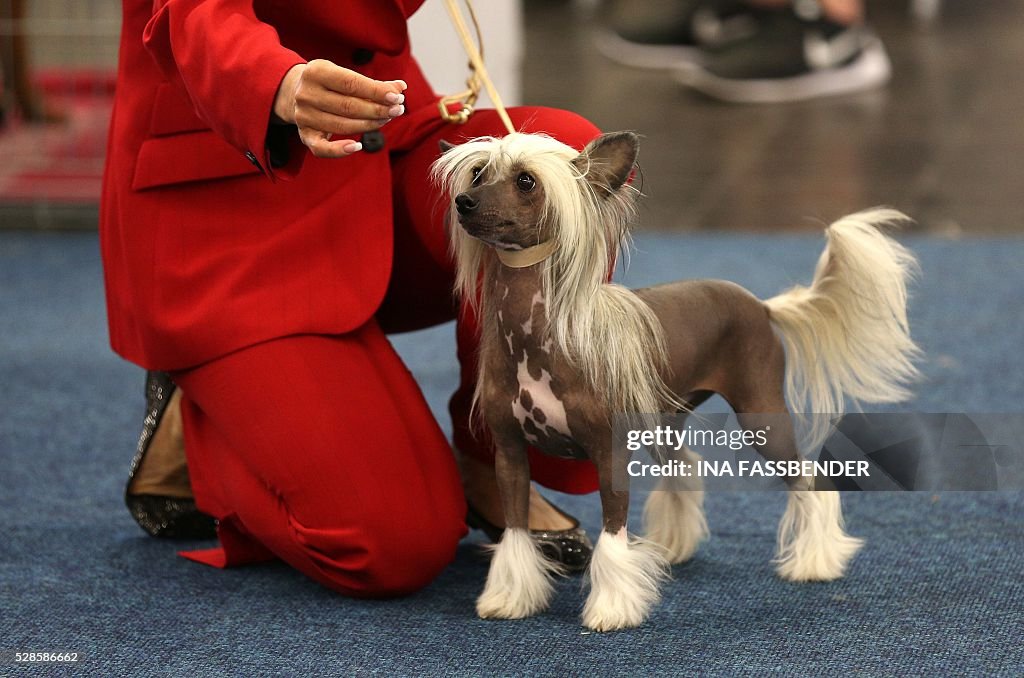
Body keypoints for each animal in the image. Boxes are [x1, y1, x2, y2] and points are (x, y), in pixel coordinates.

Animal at [432, 131, 921, 630]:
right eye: (478, 173)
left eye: (526, 181)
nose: (464, 202)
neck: (536, 340)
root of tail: (762, 305)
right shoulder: (510, 453)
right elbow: (515, 530)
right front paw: (509, 598)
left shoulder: (609, 455)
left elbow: (612, 536)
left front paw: (611, 608)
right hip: (665, 419)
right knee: (685, 465)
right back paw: (674, 547)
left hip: (761, 415)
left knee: (807, 481)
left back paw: (815, 562)